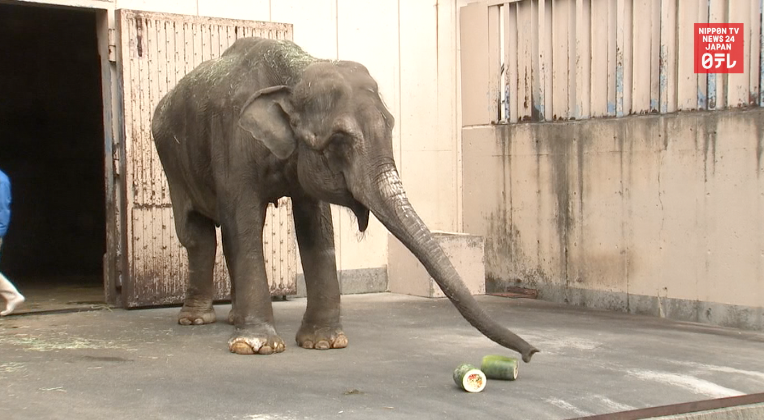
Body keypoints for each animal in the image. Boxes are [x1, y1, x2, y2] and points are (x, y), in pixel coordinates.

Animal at [151, 37, 539, 362]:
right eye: (339, 140)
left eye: (391, 125)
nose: (531, 354)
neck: (296, 71)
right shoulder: (234, 140)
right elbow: (242, 221)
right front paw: (257, 346)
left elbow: (314, 228)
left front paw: (325, 343)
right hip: (170, 159)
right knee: (198, 235)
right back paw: (197, 320)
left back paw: (232, 319)